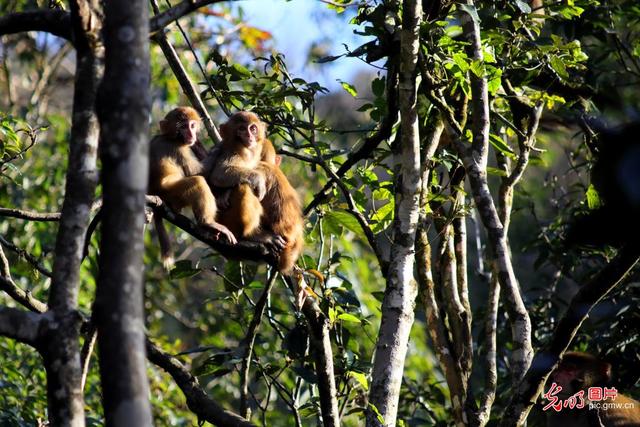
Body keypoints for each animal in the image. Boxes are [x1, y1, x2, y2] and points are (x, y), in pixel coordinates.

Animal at [149, 107, 238, 268]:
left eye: (192, 125)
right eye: (183, 127)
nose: (191, 134)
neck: (169, 137)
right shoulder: (178, 150)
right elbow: (199, 172)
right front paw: (218, 147)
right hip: (172, 194)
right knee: (197, 181)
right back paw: (207, 223)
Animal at [206, 112, 304, 272]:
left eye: (252, 128)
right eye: (241, 128)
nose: (249, 136)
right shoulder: (232, 152)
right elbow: (219, 174)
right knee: (244, 185)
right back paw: (250, 235)